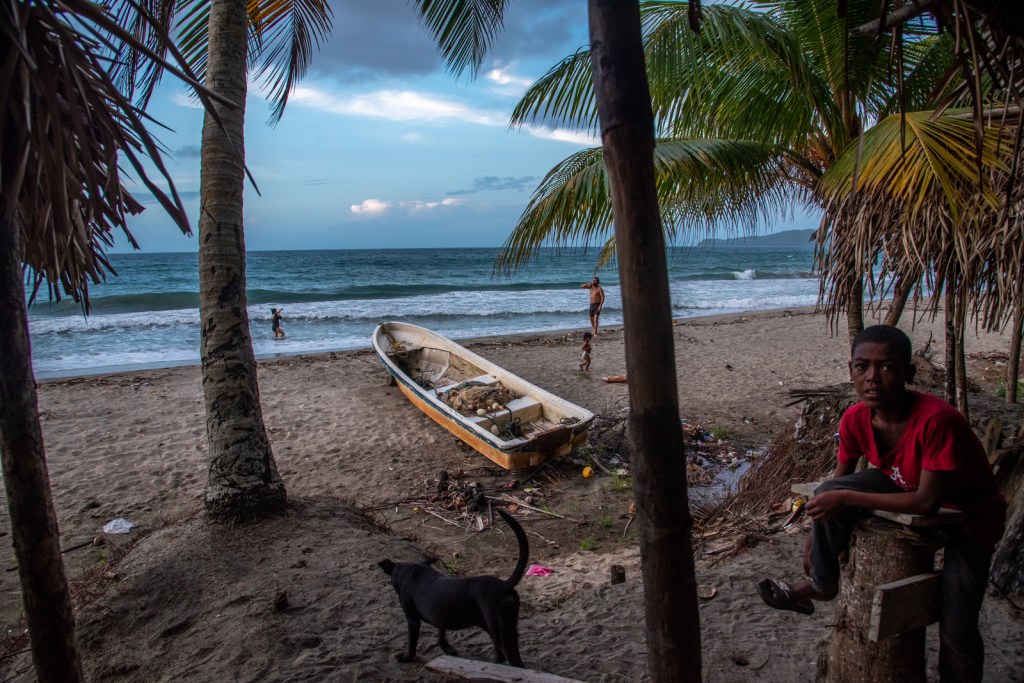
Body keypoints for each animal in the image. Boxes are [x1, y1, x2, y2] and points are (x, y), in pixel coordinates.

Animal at [382, 509, 532, 663]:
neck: (408, 570)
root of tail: (504, 585)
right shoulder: (439, 614)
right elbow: (441, 632)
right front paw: (447, 648)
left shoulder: (412, 620)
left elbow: (412, 642)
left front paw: (406, 657)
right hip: (500, 626)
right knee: (502, 654)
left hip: (499, 629)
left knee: (514, 660)